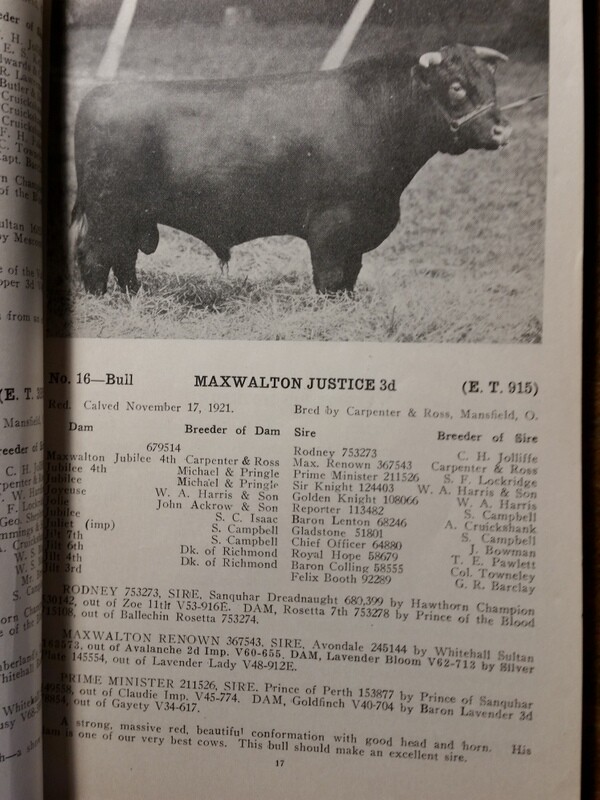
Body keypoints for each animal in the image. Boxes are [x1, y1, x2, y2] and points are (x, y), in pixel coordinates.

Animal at [72, 44, 511, 295]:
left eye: (492, 82)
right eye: (456, 86)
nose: (502, 128)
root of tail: (97, 95)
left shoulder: (359, 230)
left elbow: (350, 277)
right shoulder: (331, 226)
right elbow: (330, 278)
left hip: (131, 217)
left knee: (124, 257)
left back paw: (134, 296)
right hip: (108, 212)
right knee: (95, 257)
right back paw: (104, 300)